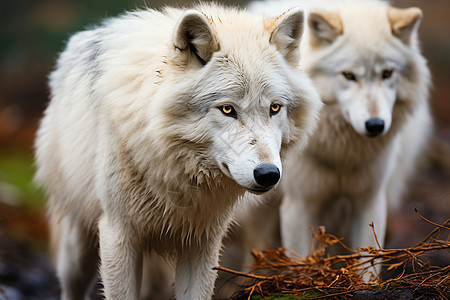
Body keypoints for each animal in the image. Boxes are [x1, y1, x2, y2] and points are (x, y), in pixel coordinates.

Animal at [36, 2, 324, 300]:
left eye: (274, 108)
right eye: (227, 109)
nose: (268, 174)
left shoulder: (202, 240)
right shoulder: (119, 233)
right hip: (78, 245)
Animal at [248, 0, 430, 260]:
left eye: (387, 73)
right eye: (349, 75)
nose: (375, 125)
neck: (343, 154)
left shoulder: (370, 200)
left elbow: (368, 261)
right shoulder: (299, 204)